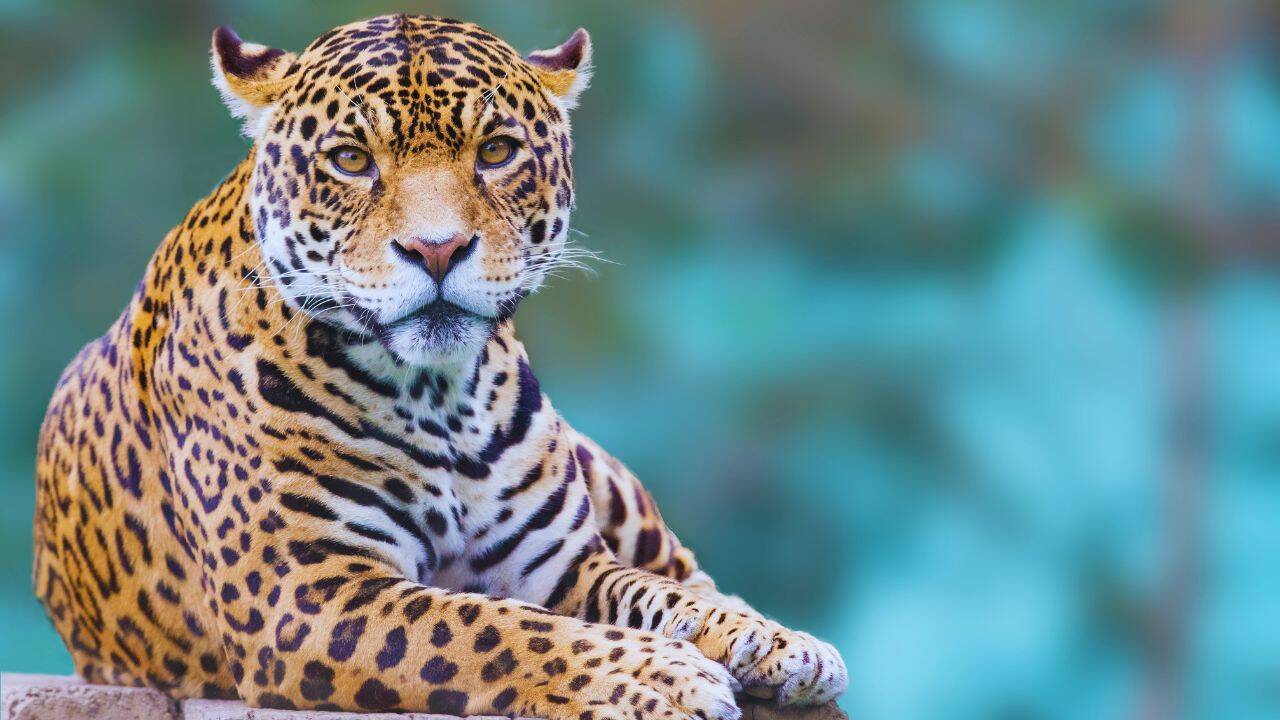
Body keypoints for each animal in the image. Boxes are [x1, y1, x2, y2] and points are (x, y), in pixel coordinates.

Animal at [33, 15, 848, 718]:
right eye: (351, 160)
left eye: (496, 151)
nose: (437, 248)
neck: (437, 395)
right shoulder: (304, 592)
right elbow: (492, 628)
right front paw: (663, 677)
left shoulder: (561, 565)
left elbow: (656, 596)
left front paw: (770, 642)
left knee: (684, 569)